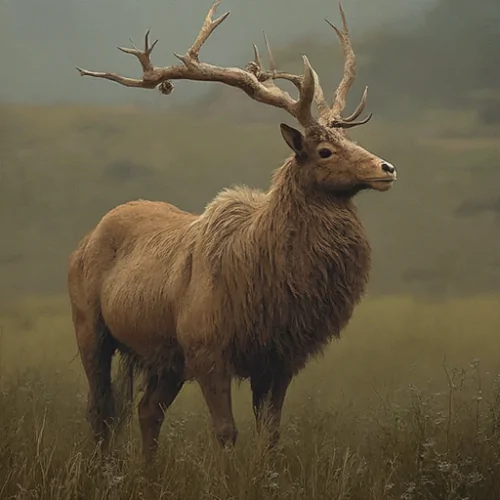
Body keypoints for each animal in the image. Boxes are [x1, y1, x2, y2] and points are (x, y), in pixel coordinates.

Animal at [68, 0, 398, 458]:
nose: (386, 168)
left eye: (349, 140)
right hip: (90, 329)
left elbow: (271, 434)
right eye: (324, 150)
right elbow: (226, 432)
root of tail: (82, 244)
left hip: (166, 358)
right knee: (100, 412)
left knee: (146, 411)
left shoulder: (279, 358)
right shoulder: (208, 349)